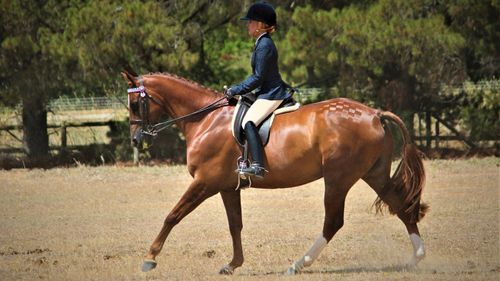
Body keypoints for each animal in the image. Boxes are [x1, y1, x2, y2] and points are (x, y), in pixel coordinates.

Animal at [122, 70, 430, 274]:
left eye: (136, 104)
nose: (136, 140)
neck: (205, 119)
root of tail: (375, 114)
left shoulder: (205, 182)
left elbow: (173, 215)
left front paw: (150, 258)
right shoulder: (226, 186)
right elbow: (235, 224)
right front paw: (233, 264)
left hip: (338, 179)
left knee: (333, 222)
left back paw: (298, 264)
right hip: (374, 174)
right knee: (401, 207)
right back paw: (416, 258)